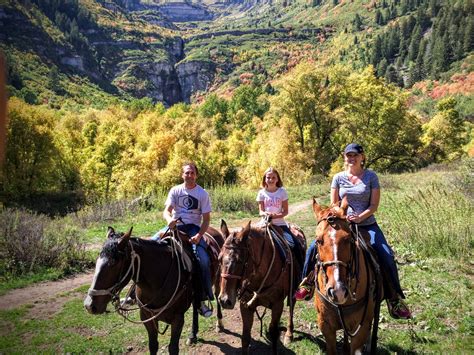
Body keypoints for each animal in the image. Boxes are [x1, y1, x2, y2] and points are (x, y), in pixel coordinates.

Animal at [83, 227, 224, 354]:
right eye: (97, 261)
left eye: (114, 263)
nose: (89, 305)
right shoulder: (147, 317)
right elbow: (153, 346)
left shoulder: (178, 319)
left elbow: (173, 348)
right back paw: (192, 335)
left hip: (219, 281)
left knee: (217, 298)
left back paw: (219, 325)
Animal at [218, 221, 304, 354]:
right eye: (219, 259)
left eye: (240, 260)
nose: (224, 300)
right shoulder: (245, 306)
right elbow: (245, 337)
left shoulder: (278, 305)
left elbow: (274, 333)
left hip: (293, 290)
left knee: (291, 308)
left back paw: (289, 334)